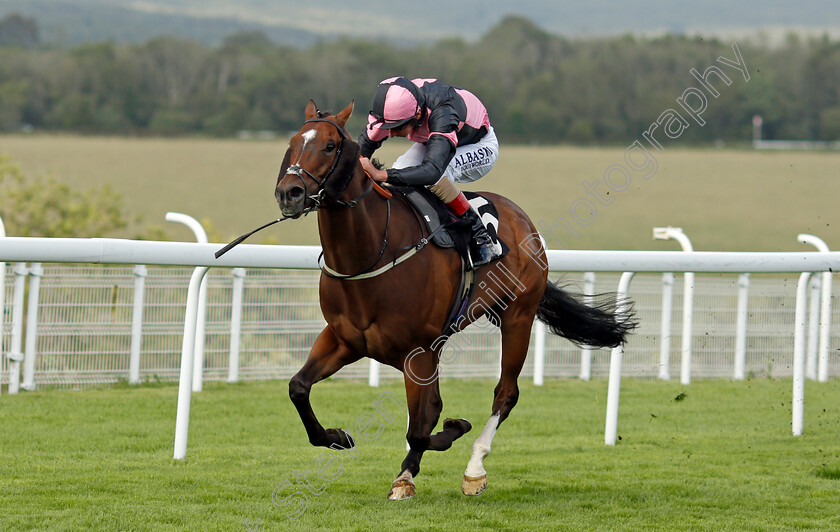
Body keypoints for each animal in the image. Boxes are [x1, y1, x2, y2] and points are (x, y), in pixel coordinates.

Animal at [276, 102, 636, 500]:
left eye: (329, 146)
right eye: (293, 143)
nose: (289, 192)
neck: (371, 253)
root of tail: (523, 220)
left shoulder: (418, 351)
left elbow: (421, 427)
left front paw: (454, 431)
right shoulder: (345, 339)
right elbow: (299, 388)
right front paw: (338, 437)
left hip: (517, 317)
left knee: (505, 394)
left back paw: (474, 468)